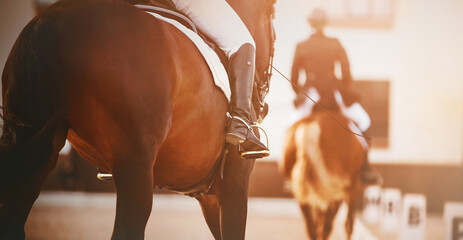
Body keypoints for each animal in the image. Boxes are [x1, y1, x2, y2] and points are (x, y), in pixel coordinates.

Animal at [0, 0, 276, 239]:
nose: (264, 106)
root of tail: (52, 21)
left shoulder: (210, 197)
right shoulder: (234, 184)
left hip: (38, 150)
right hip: (135, 164)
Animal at [280, 89, 368, 239]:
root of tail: (313, 124)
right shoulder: (353, 188)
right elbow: (348, 224)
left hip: (302, 190)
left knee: (312, 227)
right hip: (338, 188)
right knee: (327, 226)